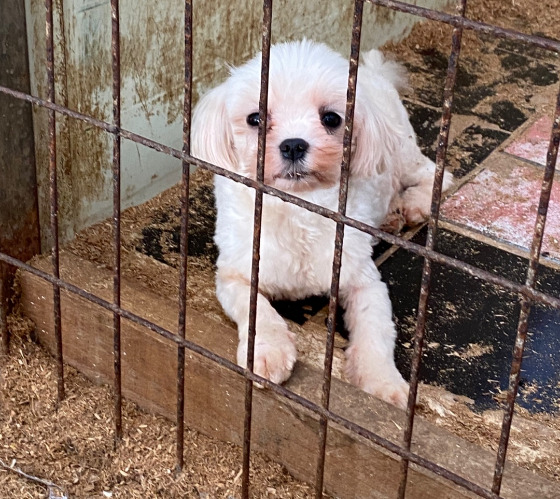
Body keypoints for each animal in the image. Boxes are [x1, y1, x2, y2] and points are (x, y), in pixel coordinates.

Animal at [192, 40, 450, 410]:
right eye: (255, 118)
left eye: (331, 118)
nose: (293, 144)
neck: (298, 209)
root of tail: (374, 73)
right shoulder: (235, 273)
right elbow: (256, 310)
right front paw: (267, 352)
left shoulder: (363, 280)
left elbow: (376, 330)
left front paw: (383, 383)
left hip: (400, 153)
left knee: (436, 174)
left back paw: (412, 205)